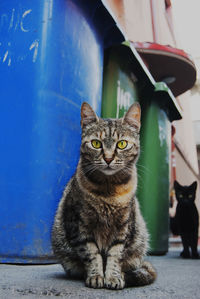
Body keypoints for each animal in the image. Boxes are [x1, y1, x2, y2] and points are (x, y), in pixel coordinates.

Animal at [52, 102, 157, 290]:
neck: (108, 191)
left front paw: (113, 277)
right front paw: (96, 276)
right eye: (96, 143)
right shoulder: (80, 226)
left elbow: (115, 255)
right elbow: (92, 254)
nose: (108, 158)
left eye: (122, 144)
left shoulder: (123, 227)